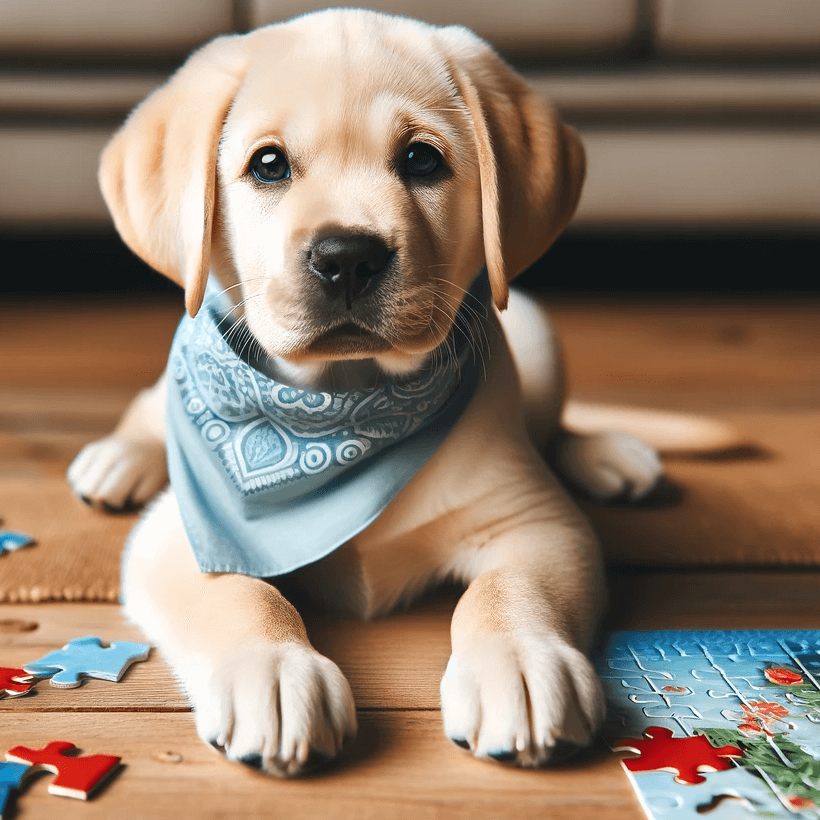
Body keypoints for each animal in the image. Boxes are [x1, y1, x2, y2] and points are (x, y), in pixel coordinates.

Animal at [67, 6, 664, 776]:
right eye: (268, 165)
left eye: (422, 160)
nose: (346, 257)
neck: (342, 408)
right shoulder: (186, 537)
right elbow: (241, 594)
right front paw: (273, 671)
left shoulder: (533, 522)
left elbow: (509, 590)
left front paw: (520, 661)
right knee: (149, 406)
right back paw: (122, 457)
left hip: (535, 327)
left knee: (557, 422)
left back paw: (607, 454)